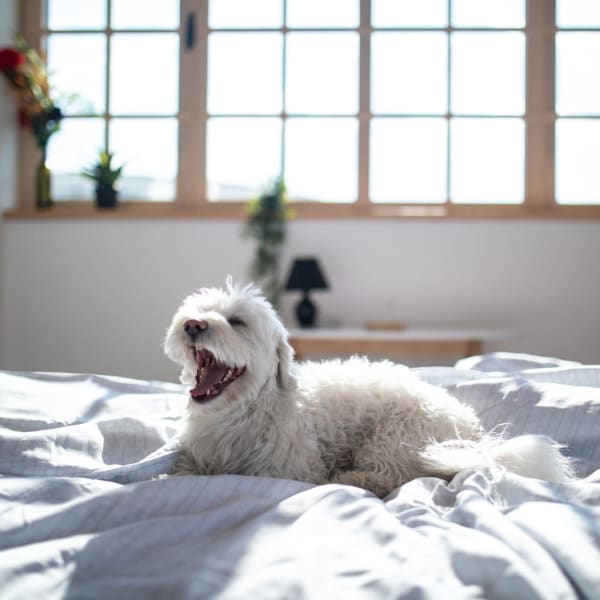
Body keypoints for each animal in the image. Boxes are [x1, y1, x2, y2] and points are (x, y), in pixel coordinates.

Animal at [163, 276, 572, 496]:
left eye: (237, 322)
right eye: (197, 312)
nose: (193, 324)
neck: (242, 411)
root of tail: (475, 435)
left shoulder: (289, 469)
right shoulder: (197, 456)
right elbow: (181, 471)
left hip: (395, 436)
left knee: (395, 476)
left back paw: (351, 479)